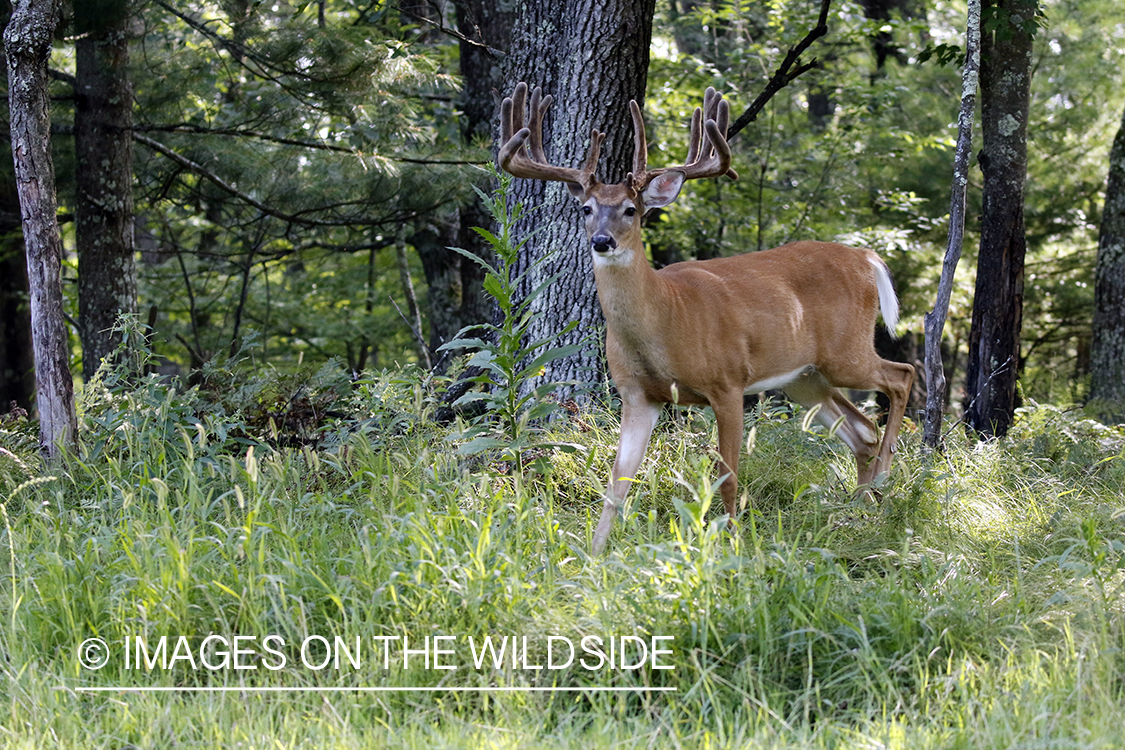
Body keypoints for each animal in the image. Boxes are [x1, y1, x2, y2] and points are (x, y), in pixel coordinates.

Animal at [499, 82, 913, 555]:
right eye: (586, 208)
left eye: (630, 210)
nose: (602, 241)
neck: (665, 321)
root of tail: (865, 257)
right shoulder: (637, 394)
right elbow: (616, 486)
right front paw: (594, 556)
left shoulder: (727, 381)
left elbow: (727, 477)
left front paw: (731, 546)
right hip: (803, 377)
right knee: (862, 430)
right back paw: (859, 511)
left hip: (846, 350)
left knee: (901, 375)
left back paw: (883, 477)